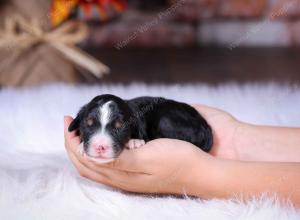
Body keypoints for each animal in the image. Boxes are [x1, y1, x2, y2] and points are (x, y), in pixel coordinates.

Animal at [68, 93, 213, 162]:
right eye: (89, 123)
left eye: (120, 127)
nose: (100, 147)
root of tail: (205, 126)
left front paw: (134, 141)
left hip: (165, 121)